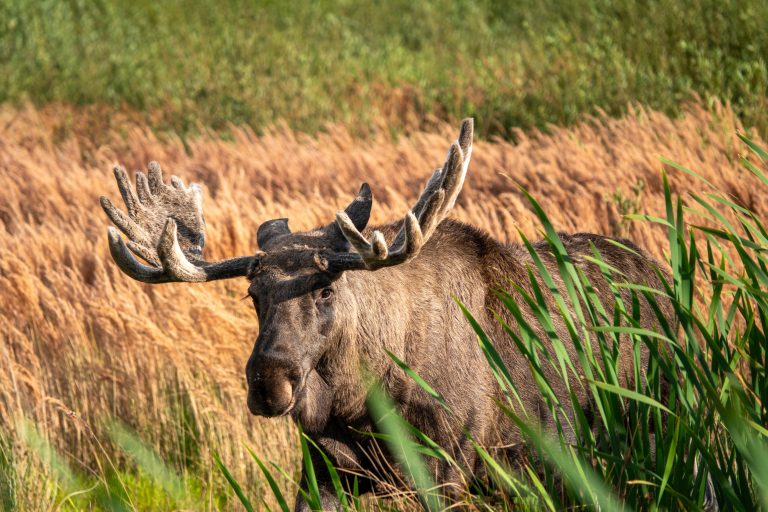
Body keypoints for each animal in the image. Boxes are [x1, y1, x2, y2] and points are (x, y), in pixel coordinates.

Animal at [100, 120, 703, 510]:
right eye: (252, 295)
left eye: (326, 289)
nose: (269, 382)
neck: (359, 403)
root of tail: (666, 280)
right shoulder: (323, 470)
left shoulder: (450, 466)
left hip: (662, 427)